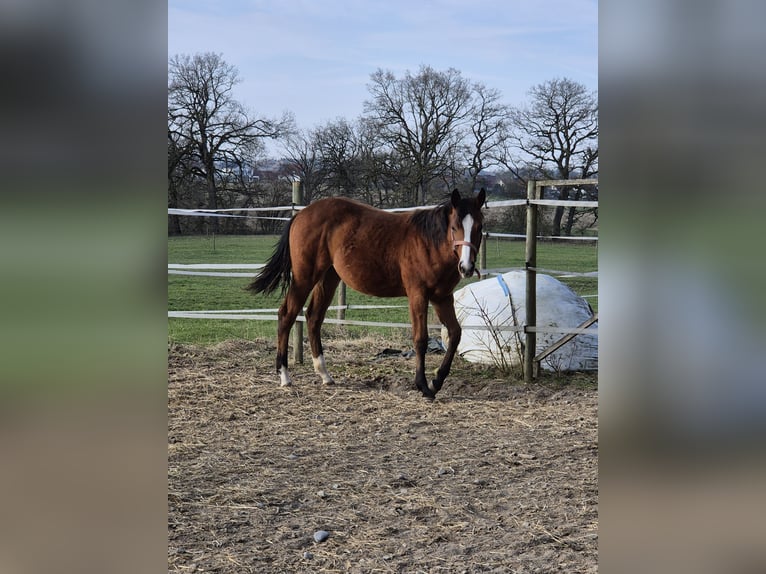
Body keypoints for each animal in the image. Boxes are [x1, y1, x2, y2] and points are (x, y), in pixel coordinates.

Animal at [248, 188, 486, 399]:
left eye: (479, 226)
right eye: (454, 227)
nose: (466, 267)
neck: (430, 244)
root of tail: (300, 214)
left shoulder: (442, 297)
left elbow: (455, 333)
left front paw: (437, 381)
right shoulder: (418, 295)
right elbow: (420, 339)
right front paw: (423, 386)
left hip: (329, 277)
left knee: (313, 316)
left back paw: (324, 374)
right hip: (305, 276)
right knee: (287, 315)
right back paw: (284, 376)